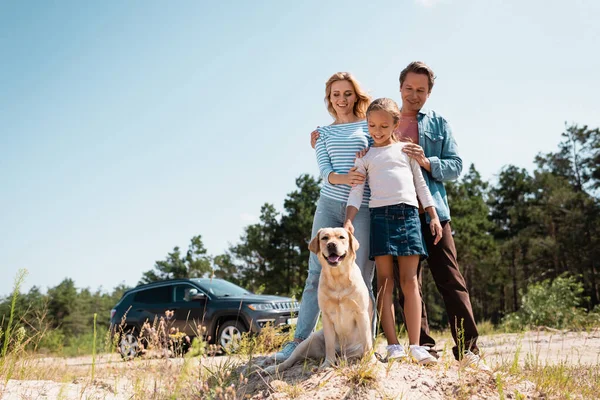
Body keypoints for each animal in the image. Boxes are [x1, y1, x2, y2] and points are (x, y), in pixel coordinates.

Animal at [264, 228, 372, 376]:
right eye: (325, 238)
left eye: (341, 237)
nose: (331, 245)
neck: (338, 278)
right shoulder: (326, 316)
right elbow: (330, 344)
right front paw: (328, 364)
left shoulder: (361, 313)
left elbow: (367, 342)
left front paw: (371, 361)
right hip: (305, 343)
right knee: (290, 360)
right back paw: (273, 368)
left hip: (352, 351)